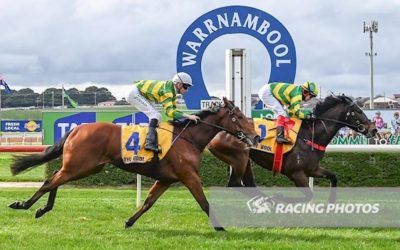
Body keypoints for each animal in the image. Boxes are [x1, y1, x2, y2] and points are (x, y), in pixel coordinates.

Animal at [9, 97, 260, 230]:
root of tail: (77, 129)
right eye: (238, 116)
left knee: (55, 180)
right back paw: (23, 204)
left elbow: (148, 202)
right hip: (80, 165)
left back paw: (42, 208)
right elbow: (204, 203)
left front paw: (129, 221)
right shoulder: (189, 176)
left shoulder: (167, 179)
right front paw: (219, 226)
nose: (256, 136)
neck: (188, 138)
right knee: (50, 181)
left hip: (85, 166)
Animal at [209, 94, 378, 200]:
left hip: (245, 159)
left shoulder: (312, 169)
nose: (374, 129)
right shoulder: (295, 173)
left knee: (248, 184)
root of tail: (218, 130)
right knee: (234, 183)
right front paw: (280, 198)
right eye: (358, 111)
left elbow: (333, 177)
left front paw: (331, 202)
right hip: (239, 157)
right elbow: (309, 196)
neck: (310, 134)